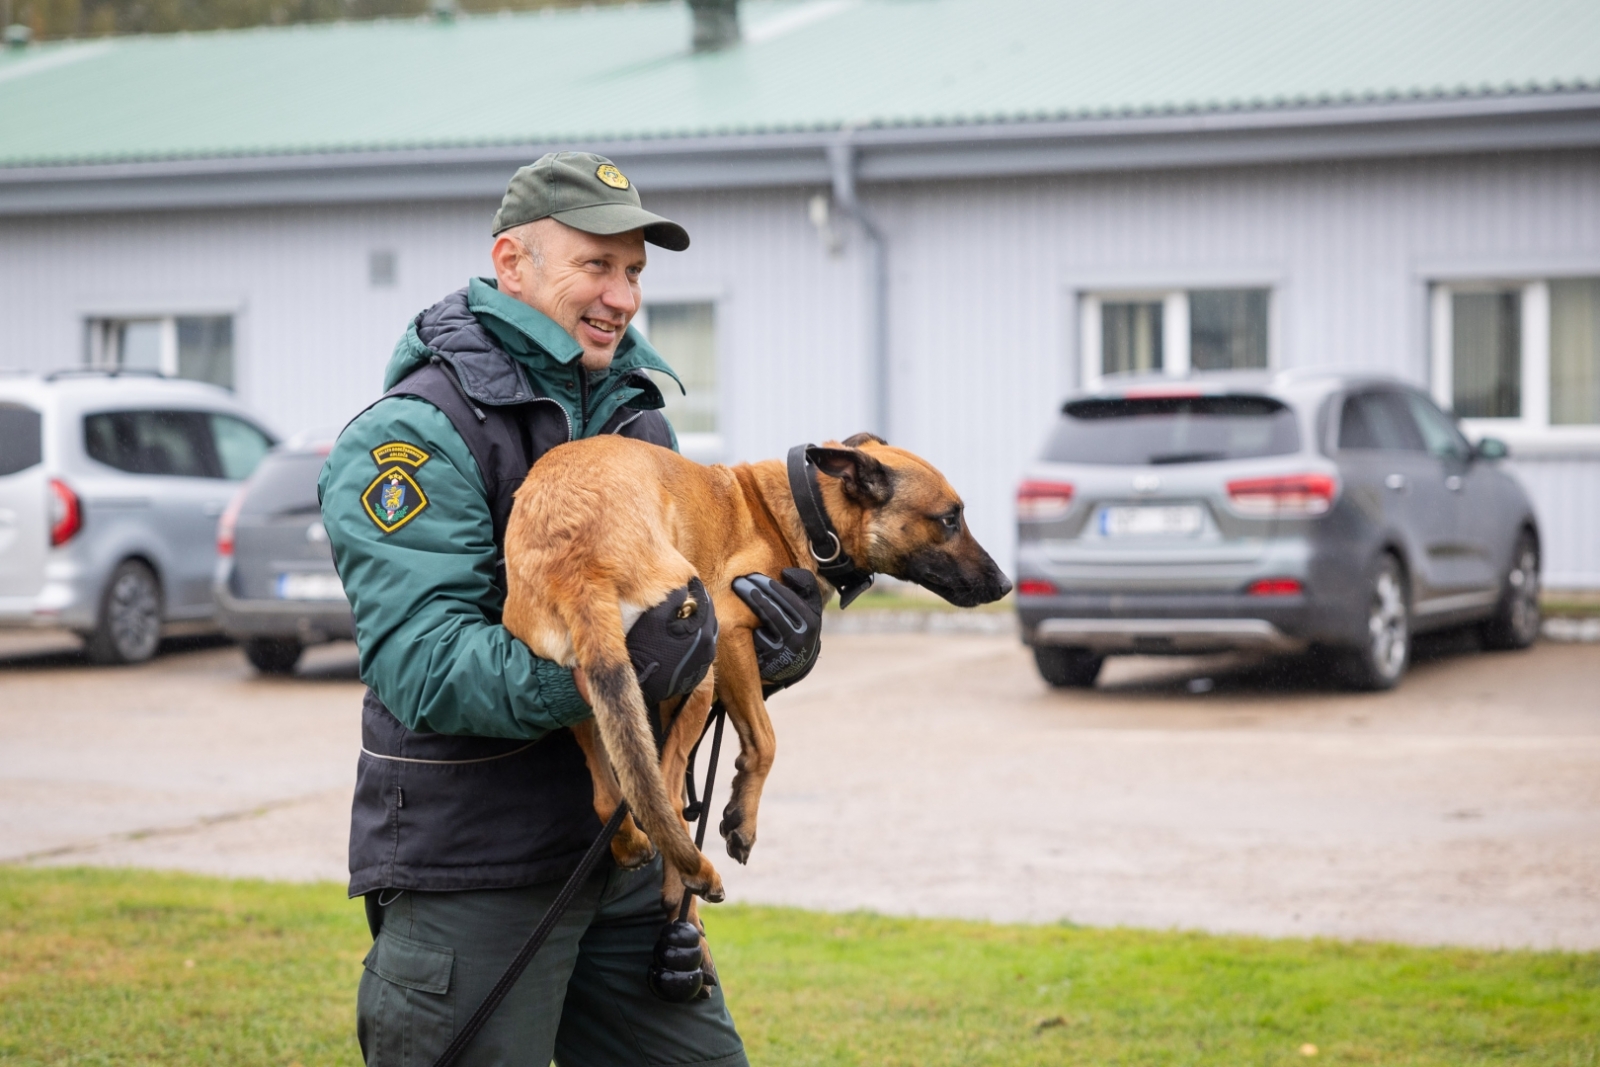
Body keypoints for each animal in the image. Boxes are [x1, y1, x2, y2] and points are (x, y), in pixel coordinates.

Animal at [499, 435, 1011, 921]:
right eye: (949, 519)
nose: (1006, 584)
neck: (804, 513)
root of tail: (578, 565)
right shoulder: (729, 631)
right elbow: (764, 741)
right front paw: (742, 820)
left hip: (591, 695)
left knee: (613, 796)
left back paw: (635, 850)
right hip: (699, 667)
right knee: (667, 795)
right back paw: (690, 883)